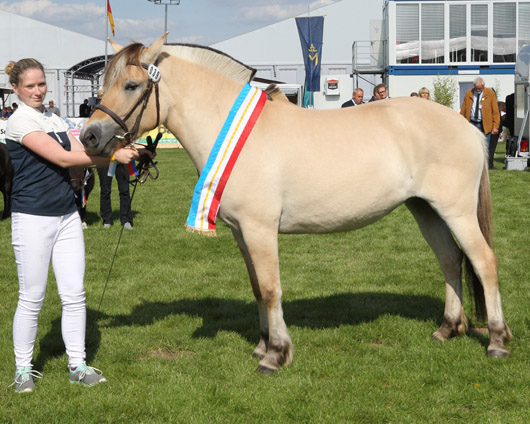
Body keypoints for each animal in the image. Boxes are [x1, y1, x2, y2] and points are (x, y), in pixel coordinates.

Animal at [77, 35, 508, 374]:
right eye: (105, 84)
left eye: (132, 85)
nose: (89, 137)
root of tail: (466, 126)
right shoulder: (241, 232)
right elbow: (256, 287)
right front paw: (262, 346)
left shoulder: (260, 229)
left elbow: (271, 289)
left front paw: (276, 356)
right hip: (426, 210)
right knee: (450, 260)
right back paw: (448, 329)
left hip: (456, 211)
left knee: (484, 262)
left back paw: (497, 342)